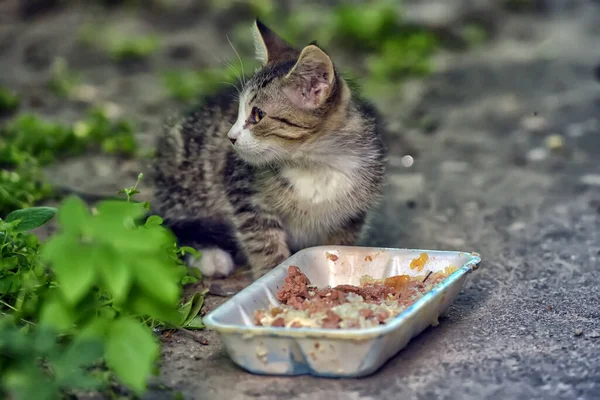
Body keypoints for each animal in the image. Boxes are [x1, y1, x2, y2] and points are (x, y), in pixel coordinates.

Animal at [152, 20, 386, 280]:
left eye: (258, 115)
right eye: (238, 112)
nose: (230, 137)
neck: (314, 163)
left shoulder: (354, 211)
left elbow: (342, 243)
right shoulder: (244, 192)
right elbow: (263, 239)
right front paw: (272, 271)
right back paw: (210, 256)